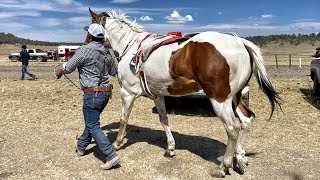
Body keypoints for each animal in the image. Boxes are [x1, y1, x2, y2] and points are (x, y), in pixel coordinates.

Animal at [87, 8, 280, 177]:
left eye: (90, 28)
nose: (87, 43)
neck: (132, 48)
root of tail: (240, 42)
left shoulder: (127, 93)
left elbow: (123, 119)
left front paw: (117, 143)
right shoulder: (158, 96)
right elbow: (164, 120)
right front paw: (170, 148)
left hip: (220, 100)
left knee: (233, 127)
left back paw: (223, 167)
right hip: (235, 97)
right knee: (246, 120)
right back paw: (240, 159)